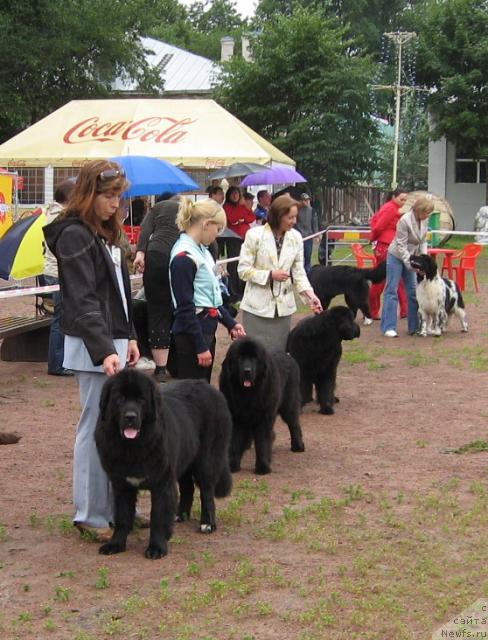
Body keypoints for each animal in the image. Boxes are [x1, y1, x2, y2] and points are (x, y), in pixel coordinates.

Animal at [96, 370, 234, 560]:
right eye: (120, 398)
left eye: (141, 399)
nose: (130, 417)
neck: (132, 447)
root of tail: (209, 387)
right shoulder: (122, 485)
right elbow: (122, 516)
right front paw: (115, 544)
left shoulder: (162, 483)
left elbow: (159, 517)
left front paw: (156, 548)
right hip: (184, 458)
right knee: (187, 487)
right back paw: (179, 515)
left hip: (207, 459)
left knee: (206, 492)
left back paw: (207, 524)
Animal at [219, 338, 304, 472]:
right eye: (240, 358)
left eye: (254, 358)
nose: (247, 371)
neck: (247, 394)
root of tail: (288, 356)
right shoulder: (236, 417)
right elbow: (235, 441)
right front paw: (233, 465)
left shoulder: (264, 417)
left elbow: (262, 442)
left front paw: (263, 467)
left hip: (289, 403)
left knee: (294, 424)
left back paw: (298, 446)